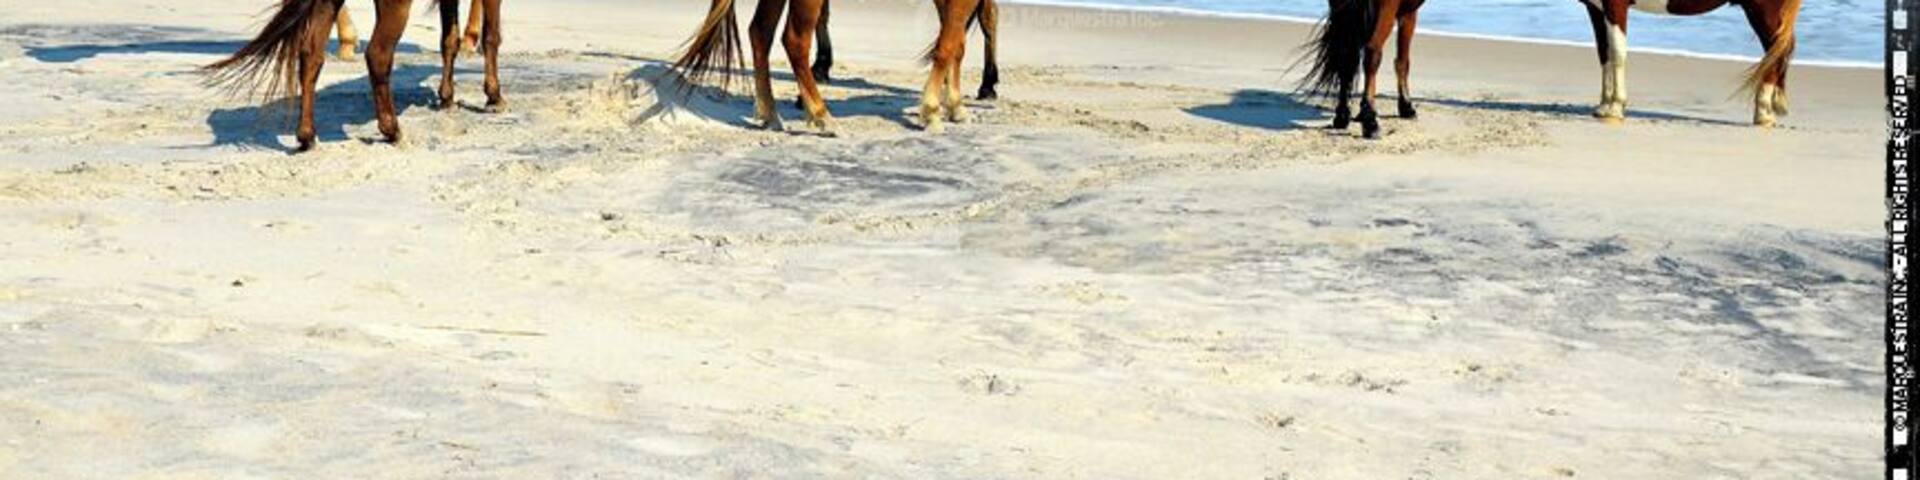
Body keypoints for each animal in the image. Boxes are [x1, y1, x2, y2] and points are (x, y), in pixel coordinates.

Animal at [204, 0, 506, 152]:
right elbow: (491, 37)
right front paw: (494, 97)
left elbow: (449, 40)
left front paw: (447, 98)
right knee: (378, 56)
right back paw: (392, 130)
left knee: (311, 55)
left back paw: (307, 136)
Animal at [1294, 0, 1426, 139]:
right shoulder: (1408, 13)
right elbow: (1402, 62)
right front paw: (1406, 107)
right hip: (1385, 10)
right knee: (1372, 53)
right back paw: (1370, 121)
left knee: (1346, 57)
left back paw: (1342, 115)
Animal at [1580, 0, 1800, 126]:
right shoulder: (1597, 8)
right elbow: (1605, 54)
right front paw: (1604, 106)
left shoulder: (1615, 4)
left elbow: (1617, 52)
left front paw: (1615, 107)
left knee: (1775, 52)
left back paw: (1763, 112)